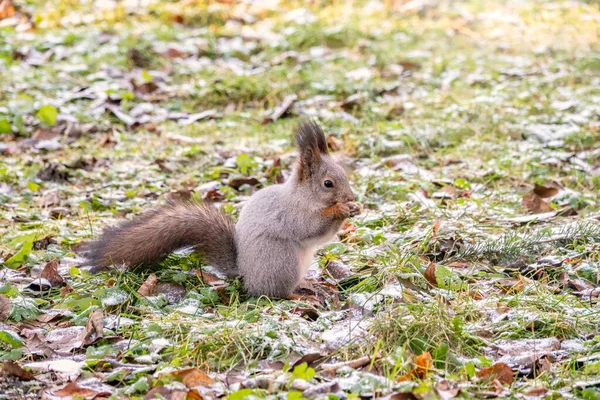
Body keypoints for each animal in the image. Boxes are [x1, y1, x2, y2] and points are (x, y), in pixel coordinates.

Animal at [82, 120, 358, 298]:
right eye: (328, 183)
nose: (351, 196)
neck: (304, 197)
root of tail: (246, 275)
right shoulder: (292, 214)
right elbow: (310, 228)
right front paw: (341, 210)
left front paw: (354, 208)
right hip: (281, 261)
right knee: (273, 294)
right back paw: (300, 296)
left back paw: (310, 285)